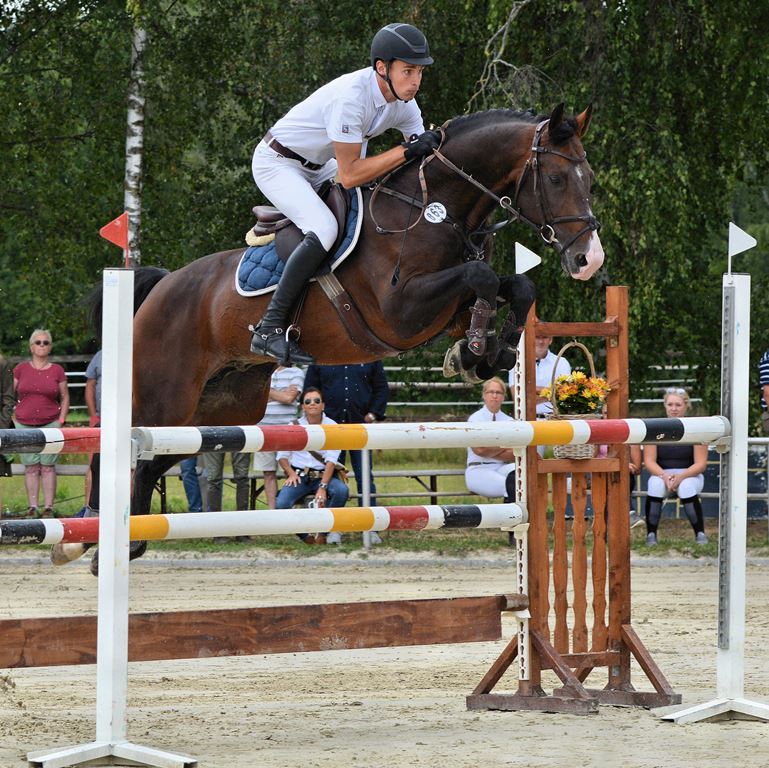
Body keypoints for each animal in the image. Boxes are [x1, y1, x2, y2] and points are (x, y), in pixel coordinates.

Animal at [78, 102, 600, 568]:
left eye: (590, 180)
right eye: (556, 180)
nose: (588, 260)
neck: (435, 209)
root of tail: (160, 286)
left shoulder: (447, 309)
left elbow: (515, 285)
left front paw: (489, 352)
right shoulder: (400, 311)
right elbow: (483, 276)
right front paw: (476, 351)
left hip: (217, 412)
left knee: (149, 462)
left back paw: (129, 543)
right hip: (161, 398)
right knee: (110, 454)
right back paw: (90, 538)